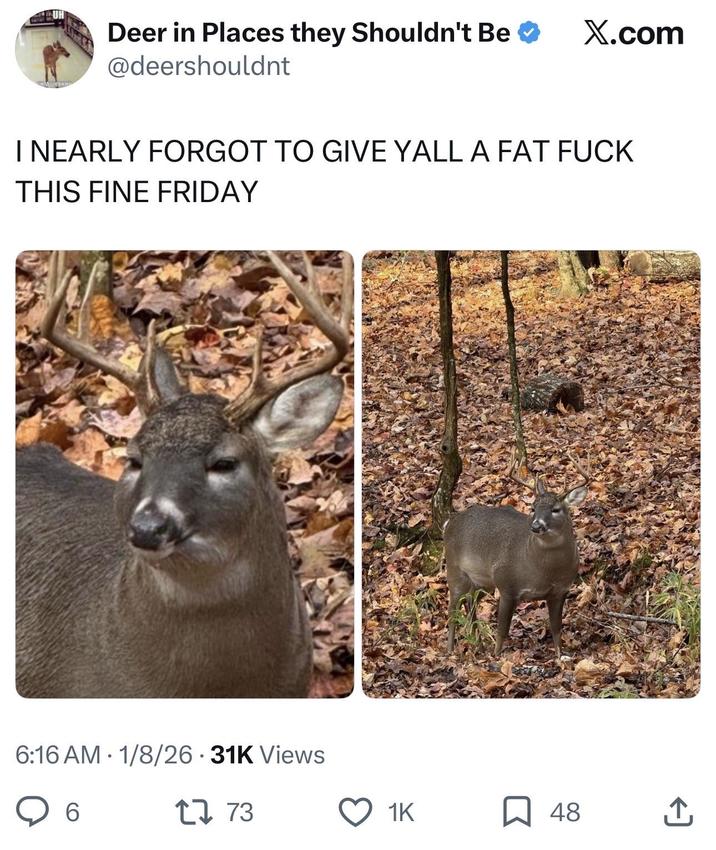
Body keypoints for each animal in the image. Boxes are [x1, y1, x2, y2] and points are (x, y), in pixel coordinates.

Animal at [445, 456, 590, 657]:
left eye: (556, 509)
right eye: (533, 507)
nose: (536, 526)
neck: (544, 571)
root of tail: (449, 522)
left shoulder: (560, 591)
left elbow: (556, 629)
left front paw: (560, 657)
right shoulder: (506, 584)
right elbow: (502, 630)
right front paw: (496, 656)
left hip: (482, 581)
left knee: (470, 603)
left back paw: (478, 646)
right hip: (454, 568)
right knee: (452, 609)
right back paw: (450, 651)